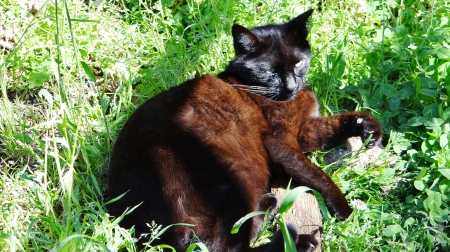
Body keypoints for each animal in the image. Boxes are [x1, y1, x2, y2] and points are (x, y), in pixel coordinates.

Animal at [107, 8, 382, 251]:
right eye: (270, 70)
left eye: (298, 63)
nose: (291, 85)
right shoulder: (281, 142)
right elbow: (316, 174)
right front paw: (345, 210)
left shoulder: (306, 131)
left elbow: (339, 121)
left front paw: (369, 128)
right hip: (238, 174)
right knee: (225, 246)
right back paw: (297, 237)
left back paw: (269, 207)